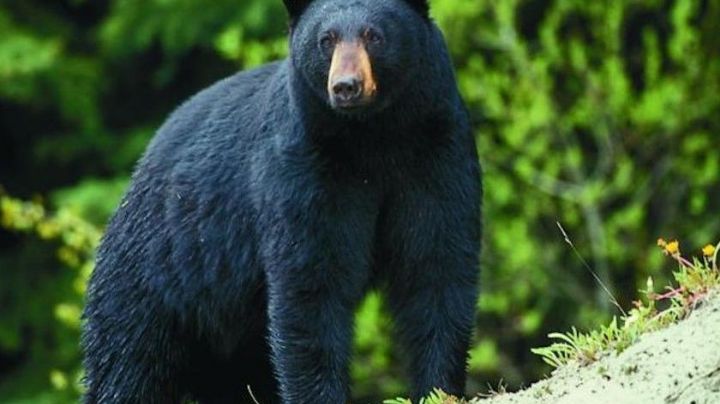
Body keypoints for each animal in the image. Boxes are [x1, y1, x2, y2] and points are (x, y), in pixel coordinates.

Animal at [81, 0, 481, 403]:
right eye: (325, 39)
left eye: (374, 35)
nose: (346, 87)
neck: (373, 137)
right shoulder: (304, 169)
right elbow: (310, 283)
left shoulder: (435, 153)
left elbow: (436, 264)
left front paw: (439, 388)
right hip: (158, 275)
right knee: (127, 360)